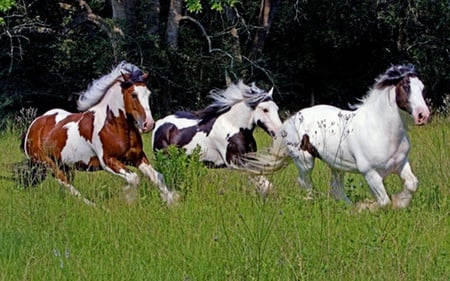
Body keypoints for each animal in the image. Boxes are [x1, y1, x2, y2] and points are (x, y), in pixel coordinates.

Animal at [22, 61, 178, 205]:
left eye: (148, 94)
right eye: (134, 94)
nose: (149, 124)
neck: (113, 125)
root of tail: (33, 126)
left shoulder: (137, 157)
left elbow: (157, 177)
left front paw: (172, 202)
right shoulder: (108, 161)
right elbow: (134, 178)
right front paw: (129, 201)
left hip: (65, 165)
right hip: (48, 164)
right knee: (66, 184)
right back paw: (93, 206)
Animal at [243, 64, 428, 209]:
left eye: (422, 88)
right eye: (406, 87)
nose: (423, 115)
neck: (381, 130)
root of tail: (291, 120)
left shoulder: (401, 164)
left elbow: (412, 184)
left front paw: (400, 202)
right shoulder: (370, 173)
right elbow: (384, 202)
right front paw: (367, 207)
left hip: (336, 164)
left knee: (336, 188)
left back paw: (348, 208)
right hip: (305, 161)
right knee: (306, 183)